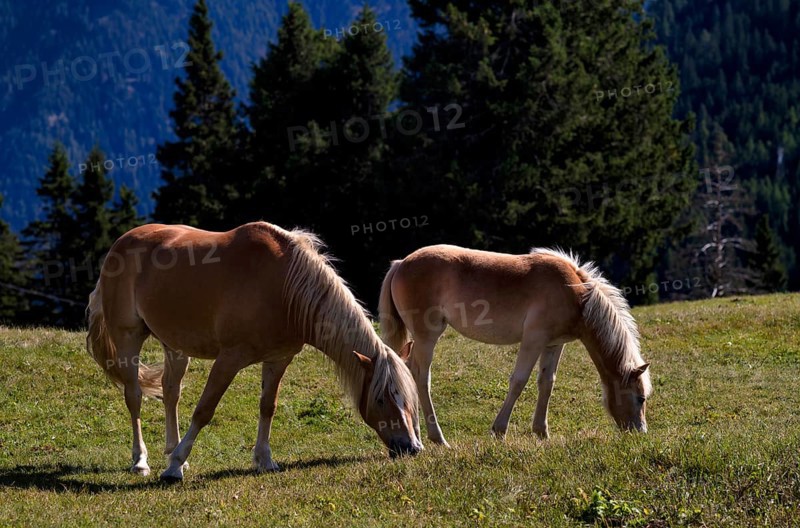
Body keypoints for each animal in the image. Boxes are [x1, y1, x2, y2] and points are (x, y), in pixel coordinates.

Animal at [86, 221, 422, 481]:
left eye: (409, 398)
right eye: (381, 399)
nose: (412, 447)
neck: (284, 287)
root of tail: (121, 243)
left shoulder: (278, 359)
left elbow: (267, 407)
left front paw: (265, 460)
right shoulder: (228, 359)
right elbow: (205, 409)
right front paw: (173, 469)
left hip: (175, 347)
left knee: (171, 393)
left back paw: (172, 450)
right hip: (128, 339)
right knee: (134, 396)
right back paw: (141, 461)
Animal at [378, 245, 651, 447]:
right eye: (640, 398)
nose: (640, 433)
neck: (577, 295)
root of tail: (401, 263)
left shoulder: (553, 345)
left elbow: (546, 383)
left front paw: (541, 432)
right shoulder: (533, 339)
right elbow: (519, 381)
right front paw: (499, 431)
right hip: (427, 337)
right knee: (421, 377)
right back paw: (437, 438)